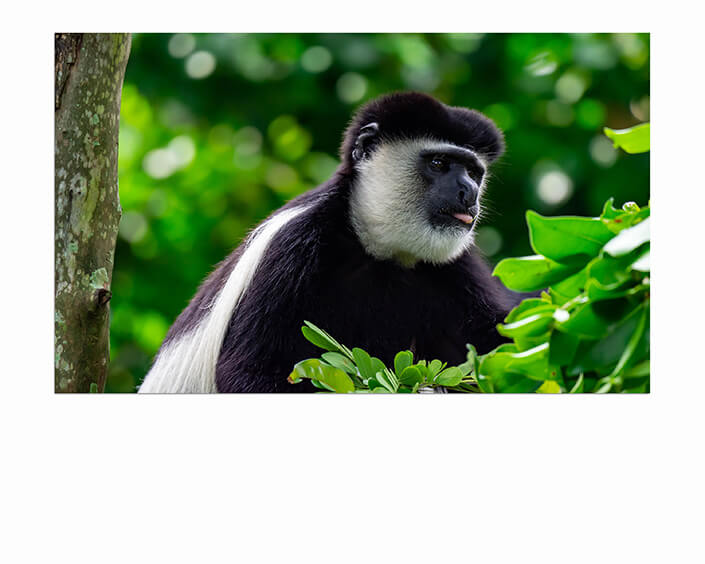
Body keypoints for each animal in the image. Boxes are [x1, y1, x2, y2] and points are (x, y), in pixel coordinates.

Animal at [138, 91, 525, 393]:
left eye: (474, 172)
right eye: (439, 162)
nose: (469, 192)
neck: (376, 248)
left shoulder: (455, 262)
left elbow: (497, 339)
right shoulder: (293, 247)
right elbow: (249, 371)